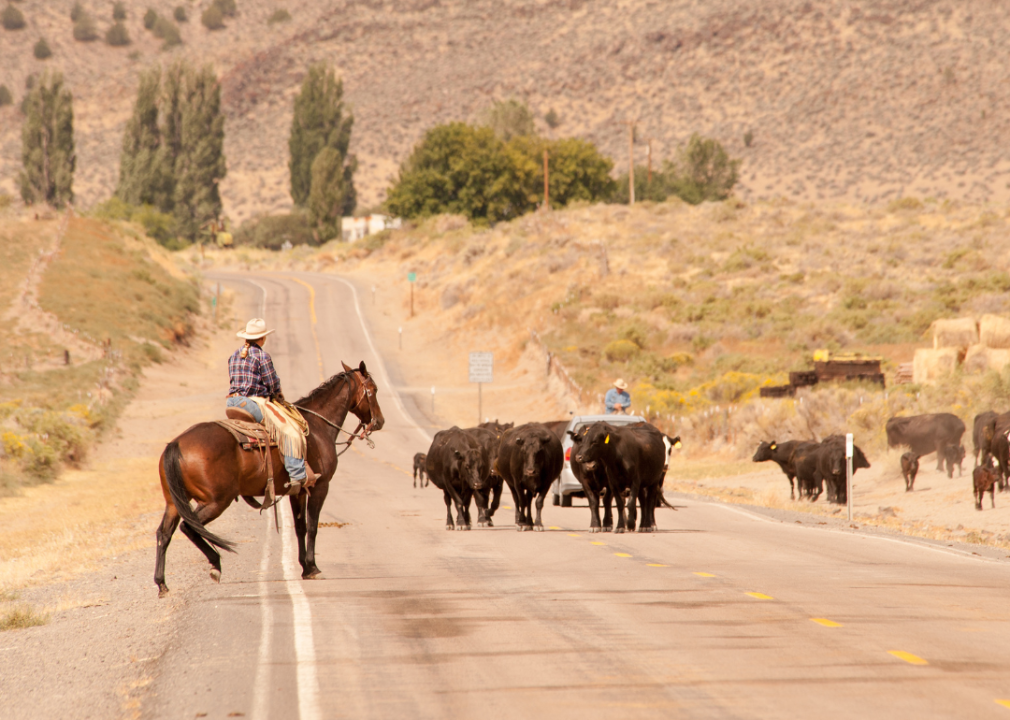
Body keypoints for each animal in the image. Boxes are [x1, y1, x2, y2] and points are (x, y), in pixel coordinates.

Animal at [152, 359, 381, 593]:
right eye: (373, 390)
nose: (379, 421)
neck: (317, 428)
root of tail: (176, 444)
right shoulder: (320, 487)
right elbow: (312, 526)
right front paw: (313, 567)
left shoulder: (297, 492)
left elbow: (300, 527)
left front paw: (305, 567)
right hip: (215, 501)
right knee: (189, 526)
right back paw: (215, 565)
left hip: (174, 502)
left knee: (164, 533)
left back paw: (162, 583)